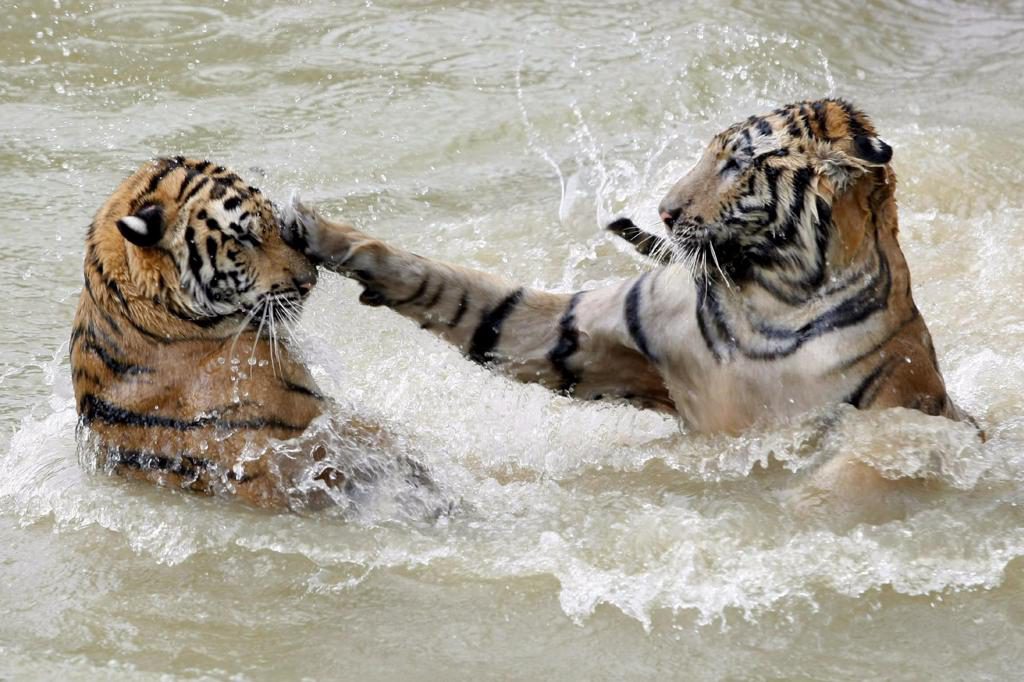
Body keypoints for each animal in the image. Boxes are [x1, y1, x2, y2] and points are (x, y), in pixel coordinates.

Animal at [279, 99, 975, 499]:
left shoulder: (896, 408)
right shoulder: (586, 333)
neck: (770, 298)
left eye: (735, 164)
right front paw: (329, 237)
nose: (664, 211)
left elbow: (867, 464)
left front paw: (804, 507)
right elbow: (477, 301)